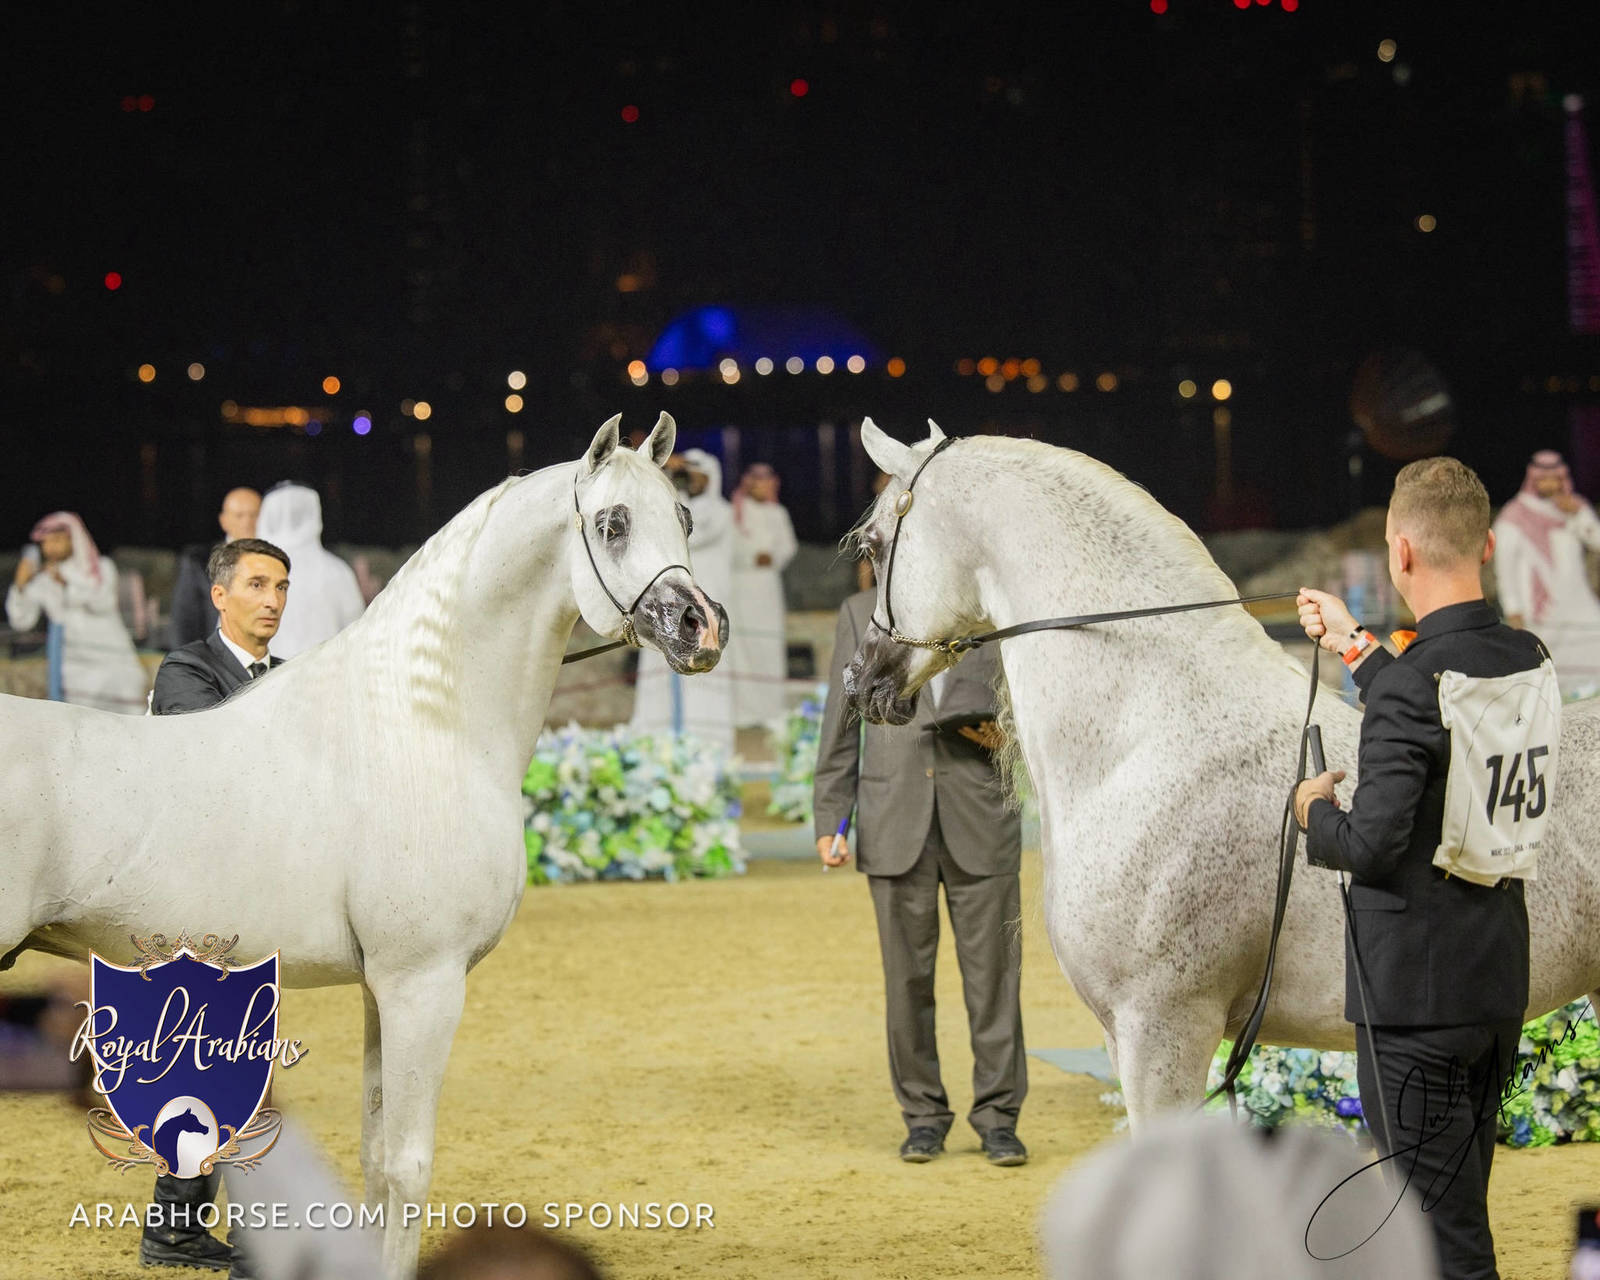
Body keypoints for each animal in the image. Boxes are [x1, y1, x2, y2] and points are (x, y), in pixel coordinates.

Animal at [0, 411, 727, 1280]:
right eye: (613, 523)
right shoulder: (425, 985)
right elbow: (409, 1164)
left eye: (684, 518)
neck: (423, 722)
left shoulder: (384, 990)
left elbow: (379, 1157)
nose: (701, 626)